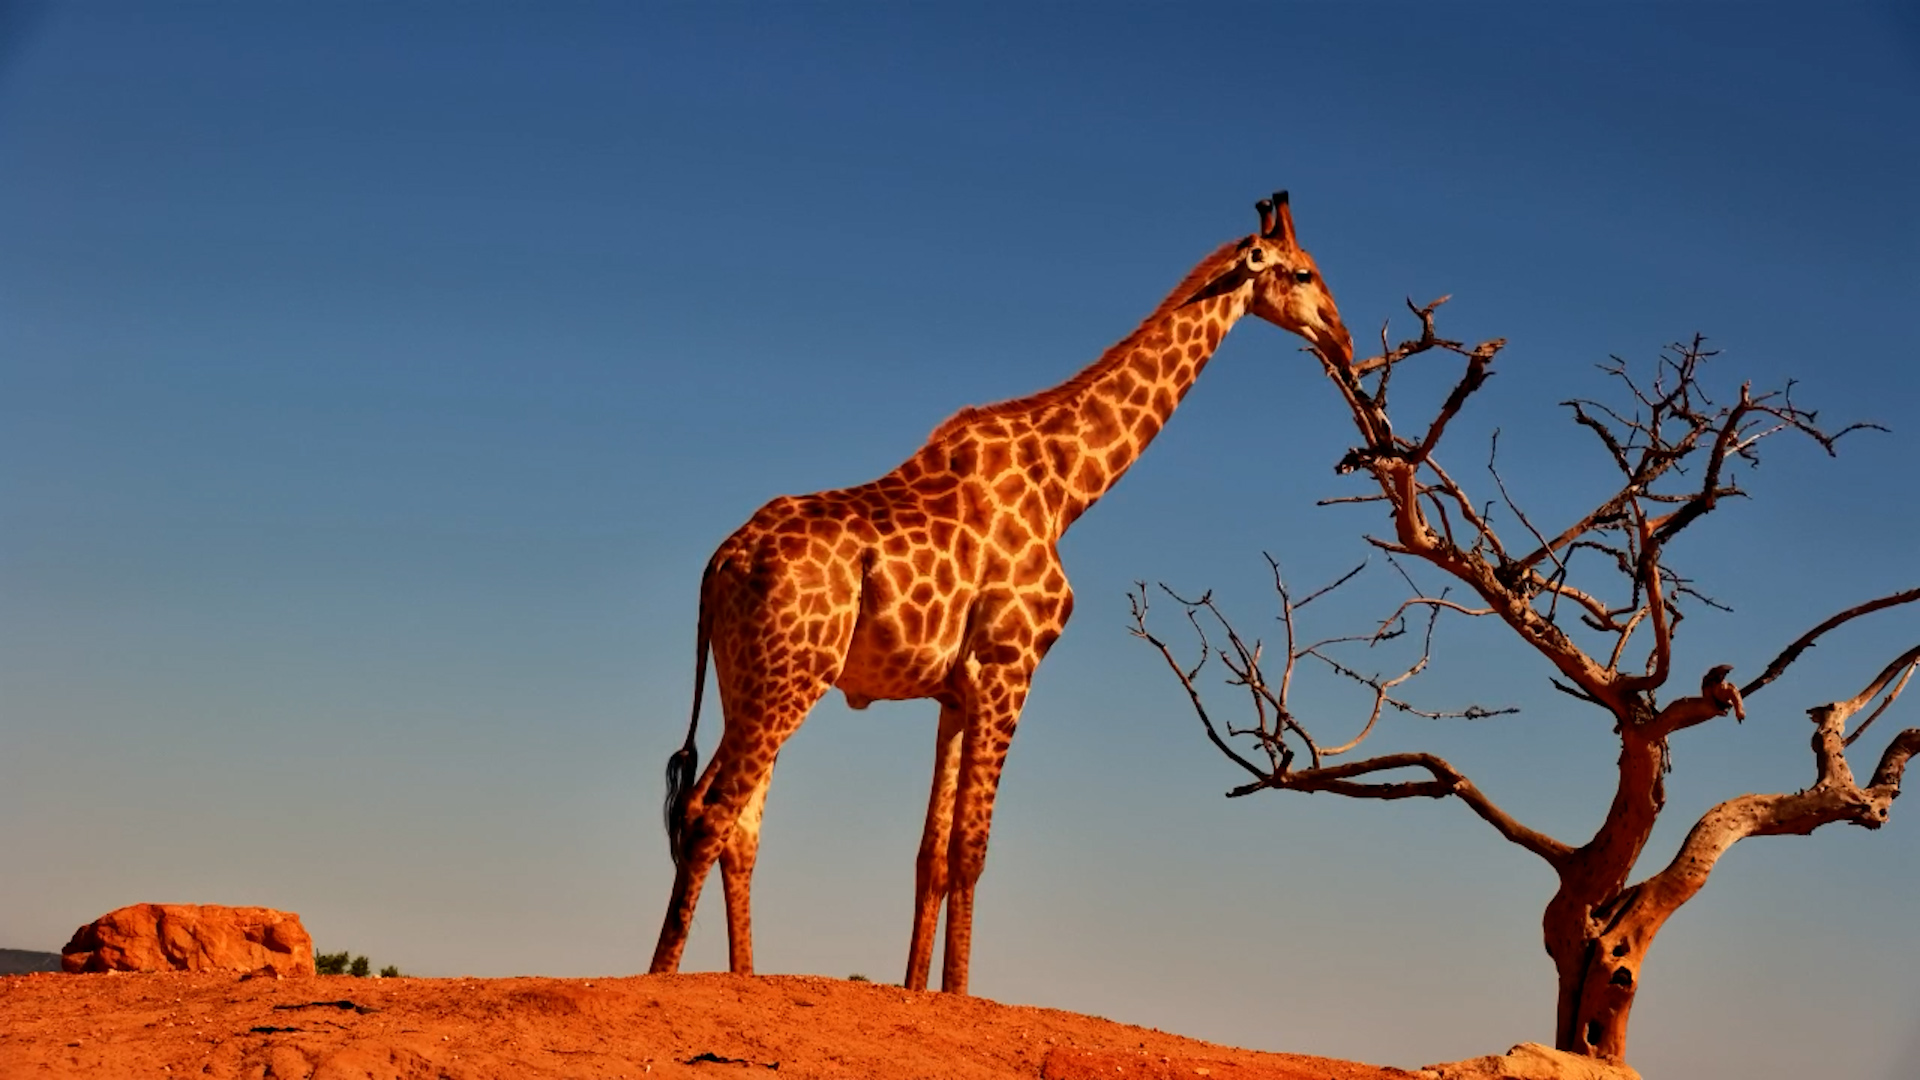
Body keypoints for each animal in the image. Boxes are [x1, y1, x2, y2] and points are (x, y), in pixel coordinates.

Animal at [650, 191, 1352, 995]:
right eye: (1304, 273)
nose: (1342, 339)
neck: (1069, 489)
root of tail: (720, 563)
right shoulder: (1009, 666)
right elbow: (973, 849)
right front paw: (957, 995)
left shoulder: (955, 690)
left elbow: (931, 853)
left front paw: (916, 992)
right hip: (789, 677)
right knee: (711, 814)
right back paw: (663, 977)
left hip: (751, 678)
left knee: (731, 821)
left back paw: (745, 977)